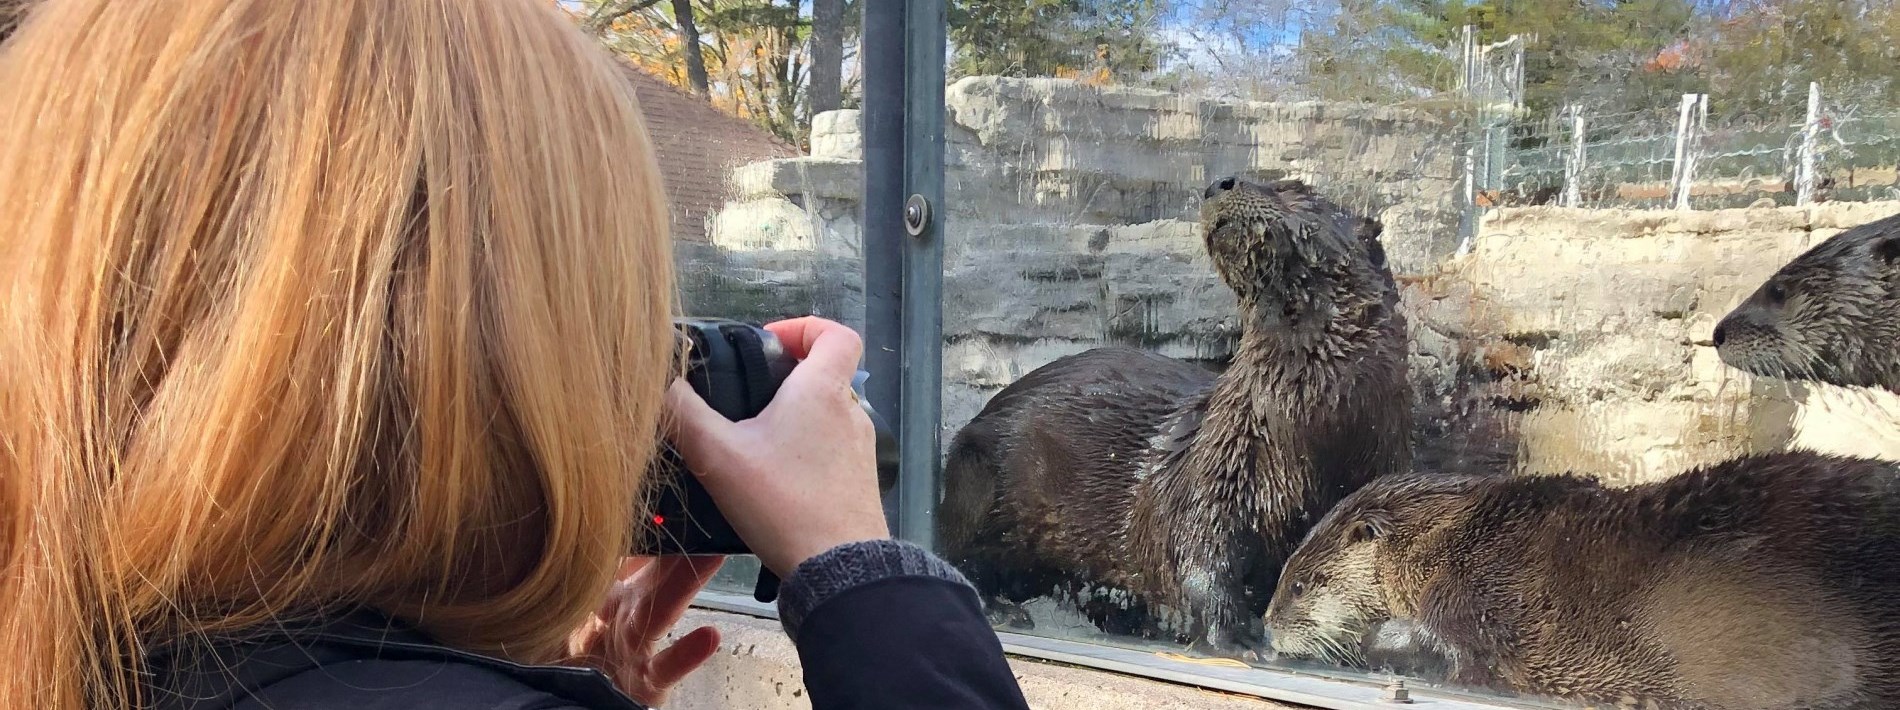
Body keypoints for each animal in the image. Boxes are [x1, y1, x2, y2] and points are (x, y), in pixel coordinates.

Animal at [934, 176, 1413, 653]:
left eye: (1290, 189)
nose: (1219, 183)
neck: (1310, 428)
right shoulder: (1217, 469)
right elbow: (1199, 550)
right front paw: (1236, 639)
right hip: (977, 474)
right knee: (951, 549)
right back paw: (1001, 608)